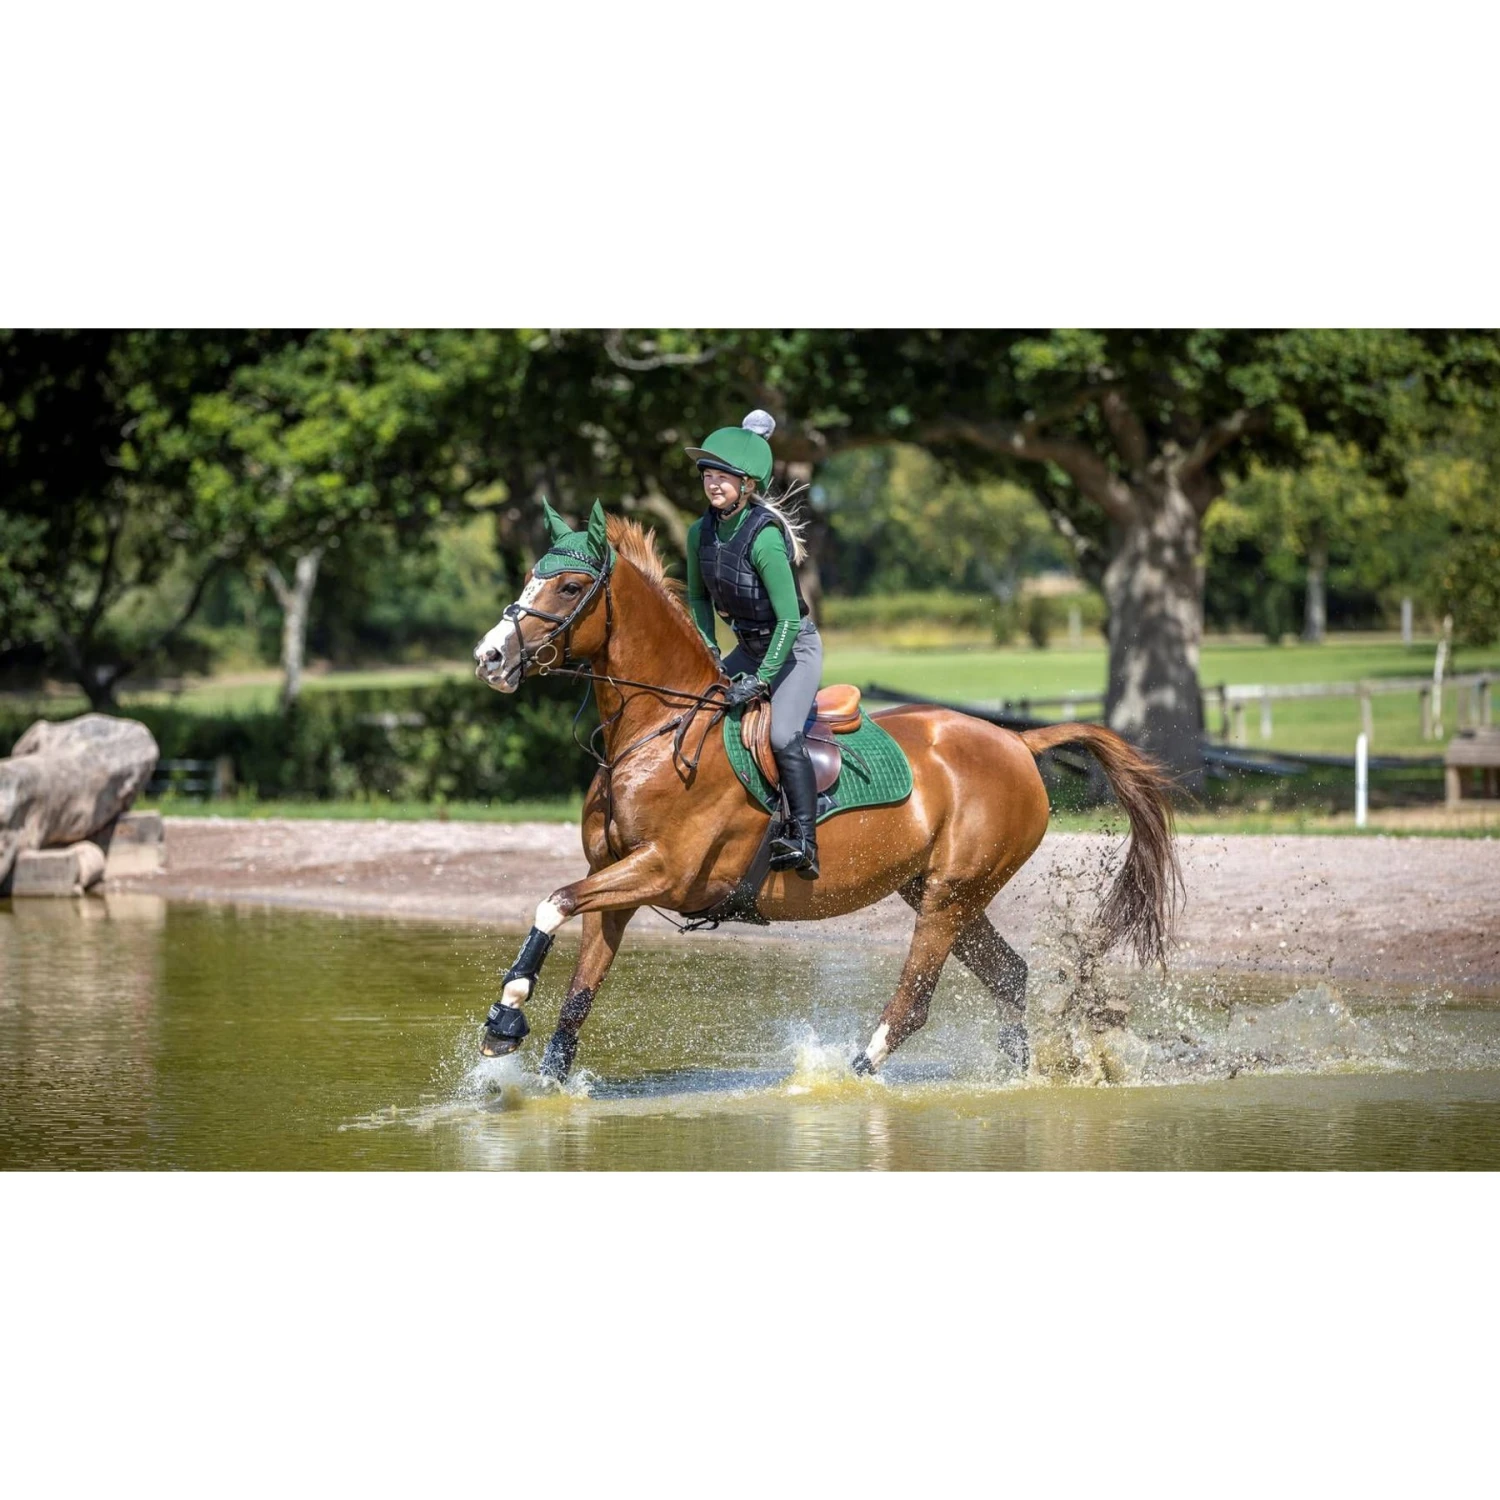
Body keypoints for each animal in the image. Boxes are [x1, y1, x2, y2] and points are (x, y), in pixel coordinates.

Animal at [472, 500, 1180, 1083]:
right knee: (1009, 976)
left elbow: (553, 902)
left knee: (915, 1000)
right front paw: (534, 1069)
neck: (657, 731)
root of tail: (1017, 742)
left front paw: (505, 1017)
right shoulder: (613, 878)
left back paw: (849, 1077)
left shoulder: (663, 870)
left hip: (951, 894)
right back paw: (1018, 1079)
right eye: (530, 576)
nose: (489, 658)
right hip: (938, 889)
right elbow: (577, 994)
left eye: (568, 586)